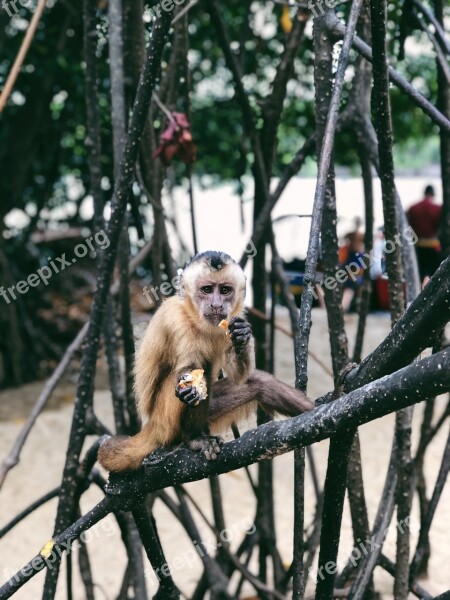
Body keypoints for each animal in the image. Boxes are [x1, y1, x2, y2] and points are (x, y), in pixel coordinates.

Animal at [98, 251, 312, 472]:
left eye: (225, 290)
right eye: (207, 290)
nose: (216, 304)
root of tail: (150, 426)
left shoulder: (233, 316)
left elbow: (239, 375)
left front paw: (241, 335)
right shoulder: (177, 321)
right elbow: (190, 373)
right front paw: (190, 391)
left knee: (261, 384)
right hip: (165, 420)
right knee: (200, 377)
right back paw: (194, 439)